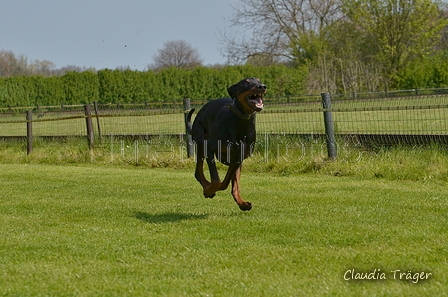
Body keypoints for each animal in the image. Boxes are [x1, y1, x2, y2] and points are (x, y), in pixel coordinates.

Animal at [186, 77, 266, 209]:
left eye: (259, 80)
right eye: (247, 82)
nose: (262, 86)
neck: (241, 121)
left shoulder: (238, 158)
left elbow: (226, 183)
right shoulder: (210, 148)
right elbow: (216, 180)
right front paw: (208, 191)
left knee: (234, 184)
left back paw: (242, 203)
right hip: (201, 142)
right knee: (198, 172)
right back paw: (207, 188)